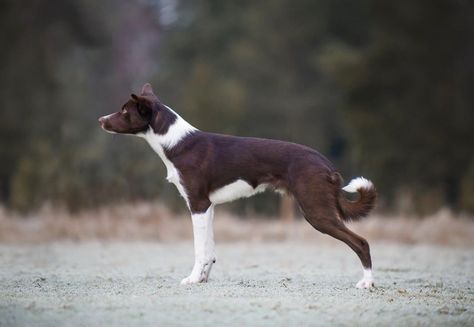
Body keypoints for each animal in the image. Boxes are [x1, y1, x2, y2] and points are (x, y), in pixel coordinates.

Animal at [99, 84, 378, 290]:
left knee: (362, 242)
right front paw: (203, 279)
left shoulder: (197, 204)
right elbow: (209, 250)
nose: (101, 120)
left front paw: (192, 279)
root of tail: (326, 164)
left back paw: (367, 283)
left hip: (316, 212)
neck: (175, 142)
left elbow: (199, 249)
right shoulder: (208, 206)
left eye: (124, 111)